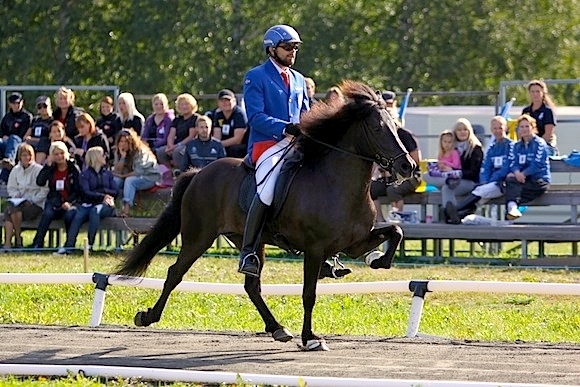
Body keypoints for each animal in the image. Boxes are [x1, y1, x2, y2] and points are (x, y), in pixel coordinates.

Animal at [115, 81, 416, 352]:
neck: (337, 183)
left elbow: (396, 231)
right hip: (199, 237)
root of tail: (199, 173)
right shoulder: (315, 248)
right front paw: (310, 338)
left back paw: (277, 328)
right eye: (377, 128)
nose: (408, 166)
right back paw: (148, 316)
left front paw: (377, 260)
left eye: (396, 126)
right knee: (175, 273)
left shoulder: (353, 243)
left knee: (252, 285)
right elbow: (309, 293)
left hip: (249, 240)